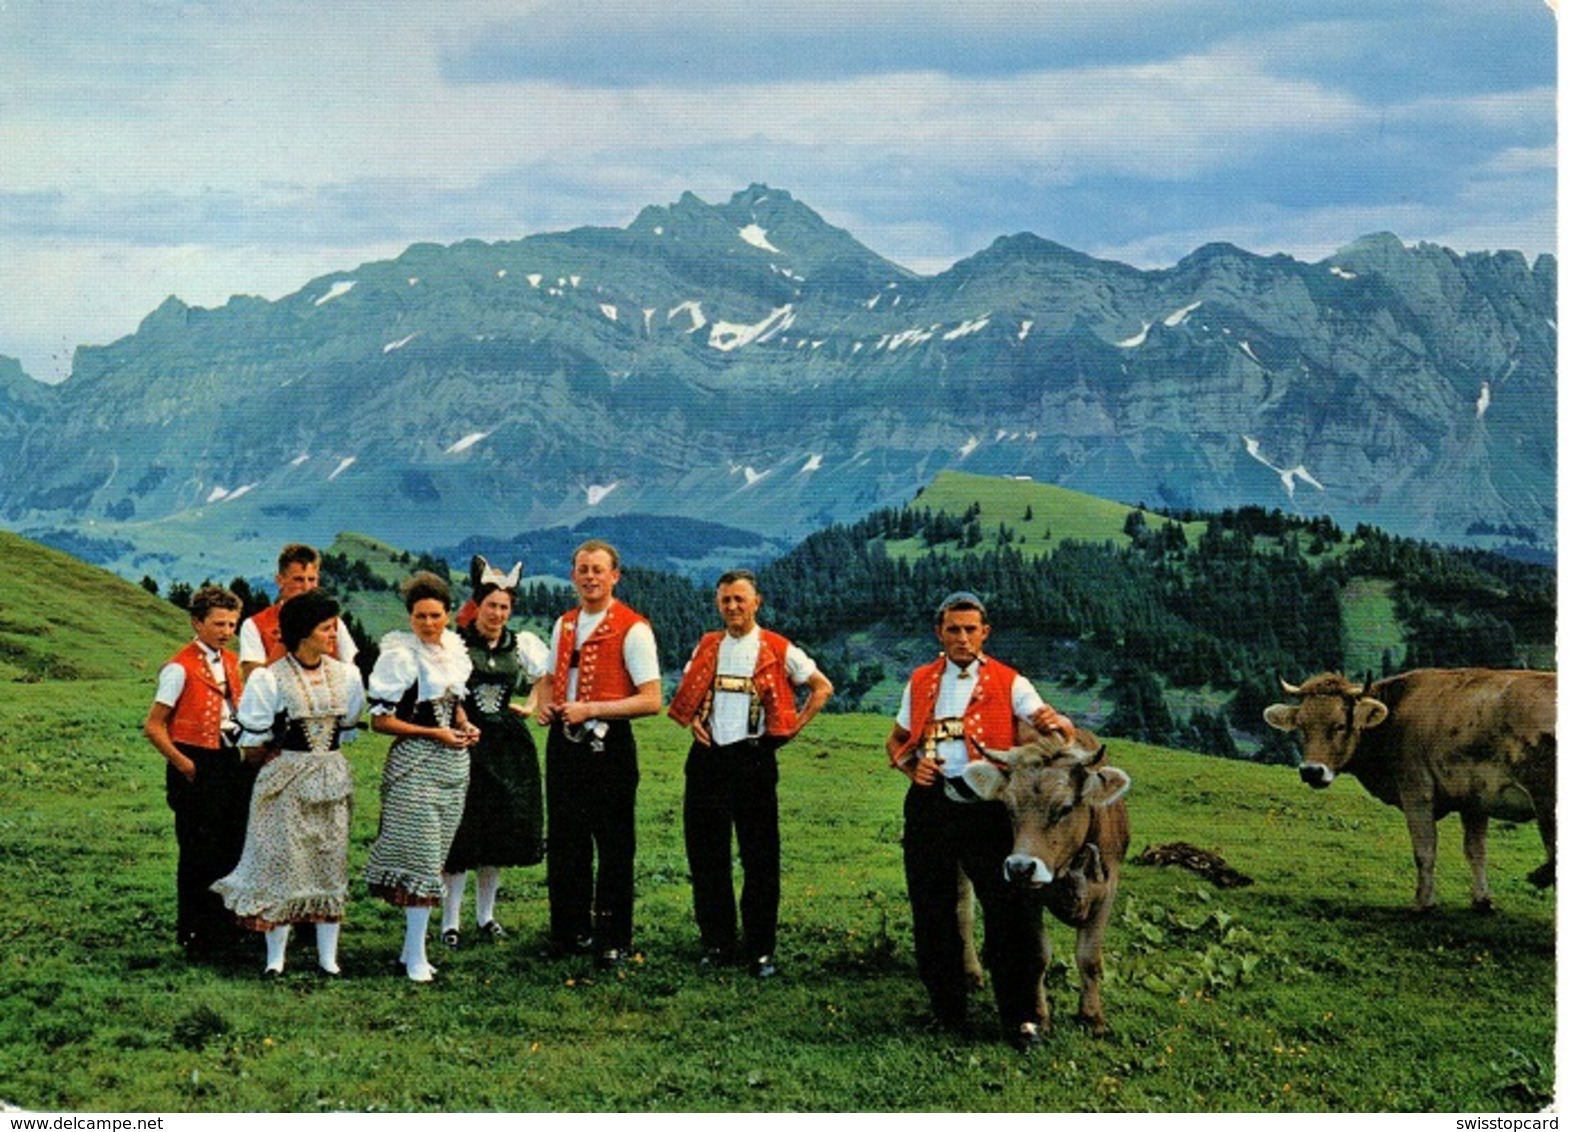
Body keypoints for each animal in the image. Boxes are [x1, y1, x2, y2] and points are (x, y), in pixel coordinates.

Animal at [953, 731, 1129, 1042]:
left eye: (1065, 808)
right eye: (1009, 808)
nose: (1020, 867)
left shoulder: (1107, 890)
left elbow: (1090, 958)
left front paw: (1093, 1018)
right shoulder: (1027, 896)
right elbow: (1038, 954)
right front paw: (1039, 1017)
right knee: (964, 911)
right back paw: (972, 972)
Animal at [1261, 671, 1556, 910]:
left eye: (1340, 725)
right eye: (1302, 726)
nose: (1311, 771)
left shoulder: (1416, 791)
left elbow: (1424, 850)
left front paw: (1424, 902)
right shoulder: (1473, 799)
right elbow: (1475, 851)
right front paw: (1482, 900)